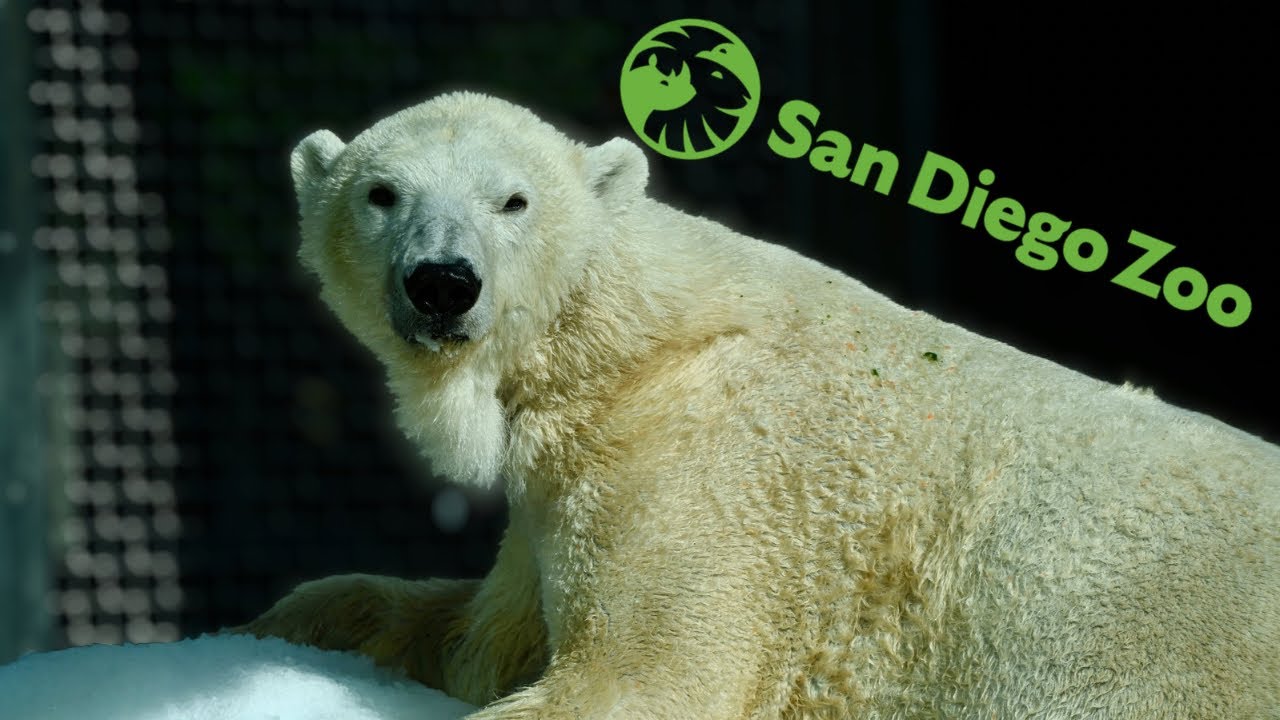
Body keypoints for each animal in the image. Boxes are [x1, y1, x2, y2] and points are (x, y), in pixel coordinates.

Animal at [240, 91, 1280, 719]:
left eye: (514, 200)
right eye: (381, 193)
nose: (442, 283)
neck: (626, 343)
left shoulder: (708, 470)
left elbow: (641, 675)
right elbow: (475, 635)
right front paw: (285, 620)